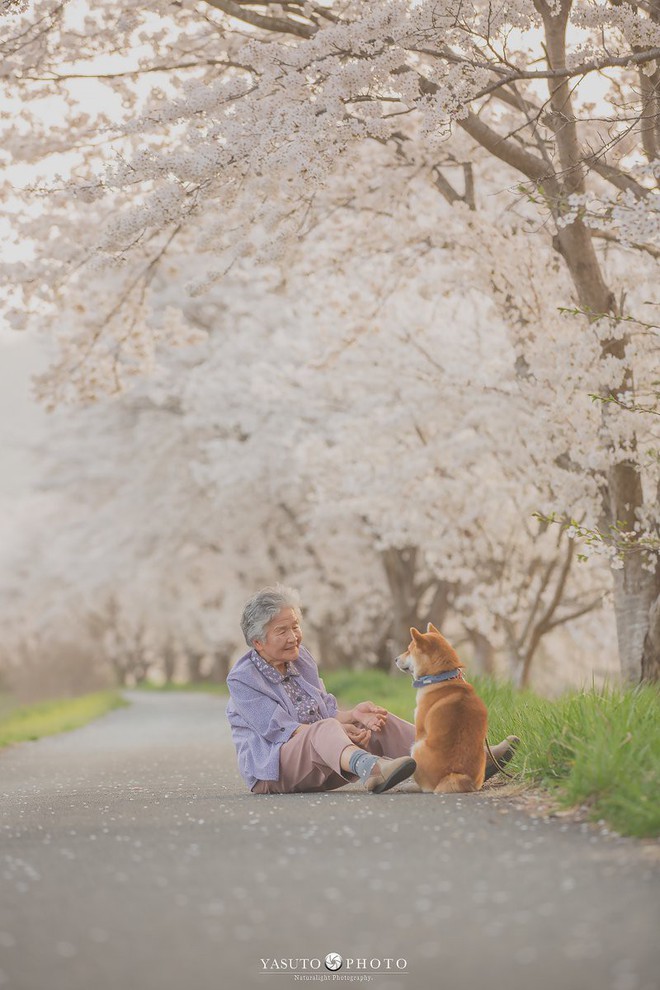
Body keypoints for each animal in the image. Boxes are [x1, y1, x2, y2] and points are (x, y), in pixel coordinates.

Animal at [394, 624, 488, 796]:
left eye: (409, 650)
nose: (395, 659)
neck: (441, 678)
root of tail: (454, 775)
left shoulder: (419, 729)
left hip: (416, 748)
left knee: (426, 788)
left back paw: (410, 787)